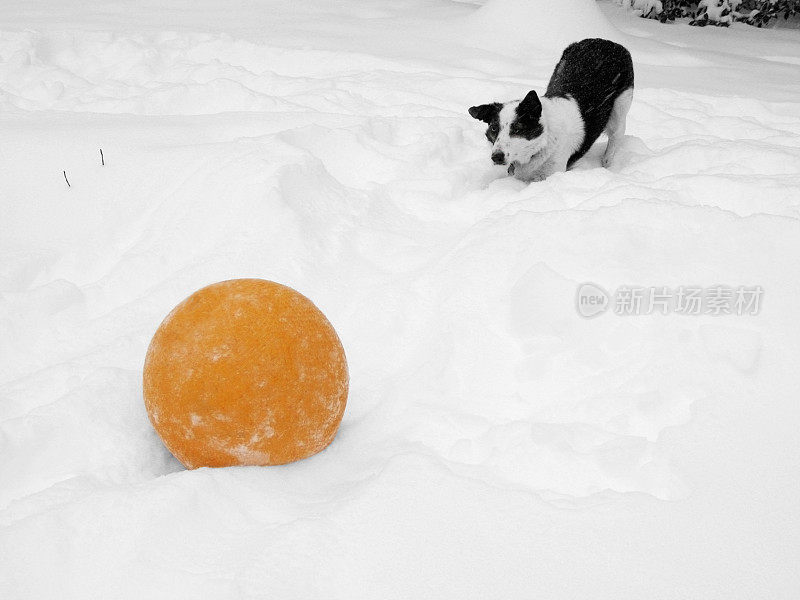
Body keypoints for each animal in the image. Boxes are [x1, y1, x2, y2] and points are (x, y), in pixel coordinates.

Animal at [468, 38, 632, 182]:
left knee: (613, 142)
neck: (543, 141)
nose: (496, 157)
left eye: (517, 128)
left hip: (619, 114)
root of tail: (609, 43)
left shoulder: (551, 173)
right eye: (494, 129)